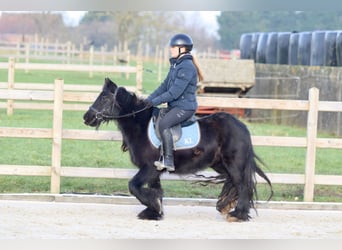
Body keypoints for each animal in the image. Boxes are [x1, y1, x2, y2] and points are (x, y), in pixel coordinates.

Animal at [83, 78, 272, 223]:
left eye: (104, 99)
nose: (86, 118)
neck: (140, 125)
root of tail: (242, 127)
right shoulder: (154, 171)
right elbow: (155, 190)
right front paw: (154, 212)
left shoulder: (149, 168)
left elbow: (134, 186)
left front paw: (154, 206)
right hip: (220, 164)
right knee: (232, 181)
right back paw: (225, 205)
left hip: (234, 163)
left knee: (242, 185)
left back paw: (239, 214)